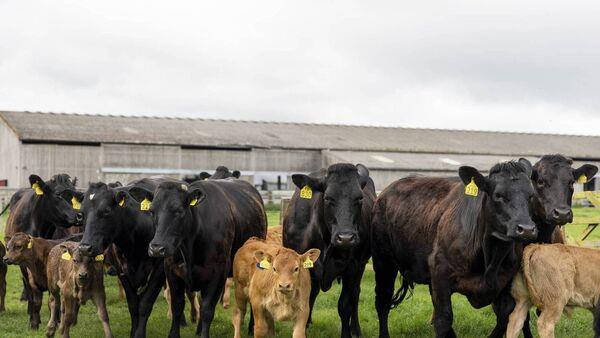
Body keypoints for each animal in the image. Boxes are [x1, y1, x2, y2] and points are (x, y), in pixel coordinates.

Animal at [77, 178, 170, 336]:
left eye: (106, 210)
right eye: (82, 213)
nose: (85, 247)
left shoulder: (159, 271)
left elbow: (145, 304)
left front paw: (139, 334)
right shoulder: (122, 269)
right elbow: (133, 304)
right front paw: (133, 332)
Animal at [131, 178, 268, 336]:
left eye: (179, 210)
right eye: (151, 211)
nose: (156, 248)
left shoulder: (218, 272)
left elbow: (208, 309)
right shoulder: (171, 270)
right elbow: (178, 305)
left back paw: (252, 328)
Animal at [282, 164, 376, 338]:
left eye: (360, 198)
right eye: (328, 198)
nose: (345, 238)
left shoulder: (352, 268)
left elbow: (344, 305)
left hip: (361, 265)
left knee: (355, 294)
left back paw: (356, 329)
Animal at [372, 159, 536, 338]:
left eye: (531, 196)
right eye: (498, 195)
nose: (527, 229)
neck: (490, 259)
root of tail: (387, 190)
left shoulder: (507, 282)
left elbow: (505, 316)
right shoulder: (441, 274)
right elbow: (444, 319)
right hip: (383, 260)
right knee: (382, 300)